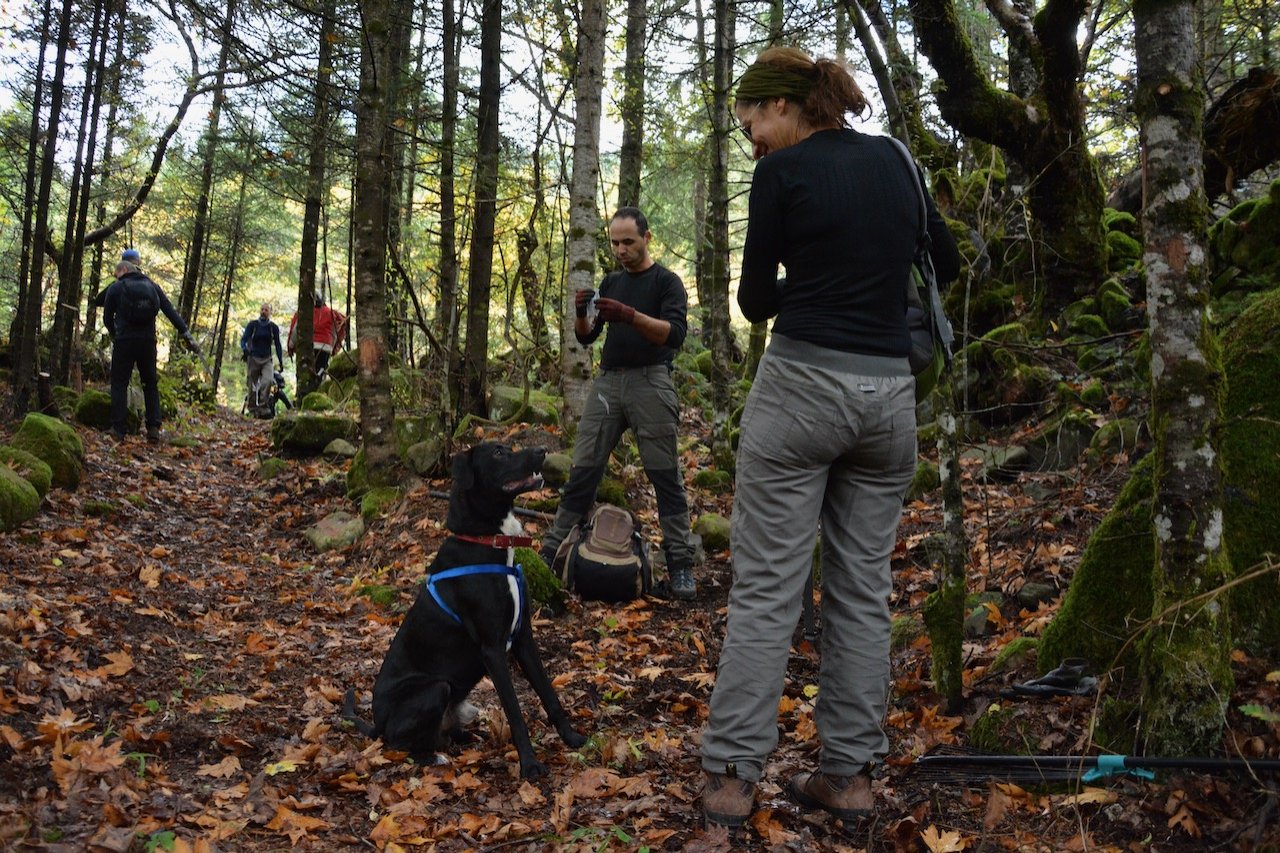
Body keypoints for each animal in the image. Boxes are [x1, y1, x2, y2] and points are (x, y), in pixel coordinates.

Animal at [343, 445, 586, 778]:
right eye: (498, 453)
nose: (541, 449)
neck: (486, 541)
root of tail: (376, 724)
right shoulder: (492, 649)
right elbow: (515, 713)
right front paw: (530, 764)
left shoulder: (523, 638)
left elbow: (549, 694)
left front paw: (572, 737)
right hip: (435, 689)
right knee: (398, 742)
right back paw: (431, 757)